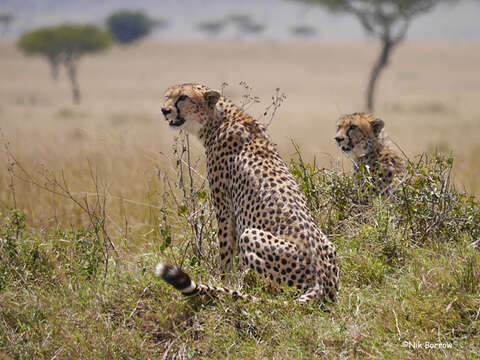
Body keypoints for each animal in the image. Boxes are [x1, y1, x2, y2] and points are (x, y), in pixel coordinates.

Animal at [156, 83, 340, 302]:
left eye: (183, 97)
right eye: (167, 96)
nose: (164, 110)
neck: (218, 119)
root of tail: (320, 279)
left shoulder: (224, 207)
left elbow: (226, 251)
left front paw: (225, 283)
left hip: (250, 235)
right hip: (330, 246)